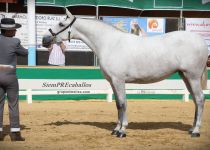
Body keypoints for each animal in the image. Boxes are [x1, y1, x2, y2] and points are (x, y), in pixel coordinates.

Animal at [42, 8, 208, 138]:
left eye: (61, 24)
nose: (44, 39)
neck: (109, 43)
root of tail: (201, 40)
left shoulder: (118, 80)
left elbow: (123, 103)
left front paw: (122, 130)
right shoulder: (112, 82)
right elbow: (117, 104)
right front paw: (116, 129)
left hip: (192, 77)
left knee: (200, 99)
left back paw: (196, 131)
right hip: (185, 76)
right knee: (195, 100)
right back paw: (192, 128)